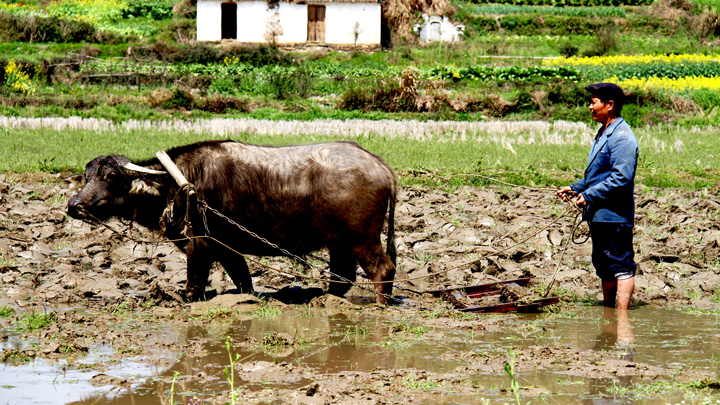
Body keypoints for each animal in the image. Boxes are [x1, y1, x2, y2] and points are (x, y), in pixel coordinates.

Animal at [66, 140, 394, 302]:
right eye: (86, 176)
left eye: (110, 177)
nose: (74, 206)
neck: (178, 184)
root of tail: (380, 166)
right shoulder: (227, 249)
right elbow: (243, 280)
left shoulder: (199, 246)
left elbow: (194, 284)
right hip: (339, 243)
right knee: (343, 276)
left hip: (362, 238)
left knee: (382, 270)